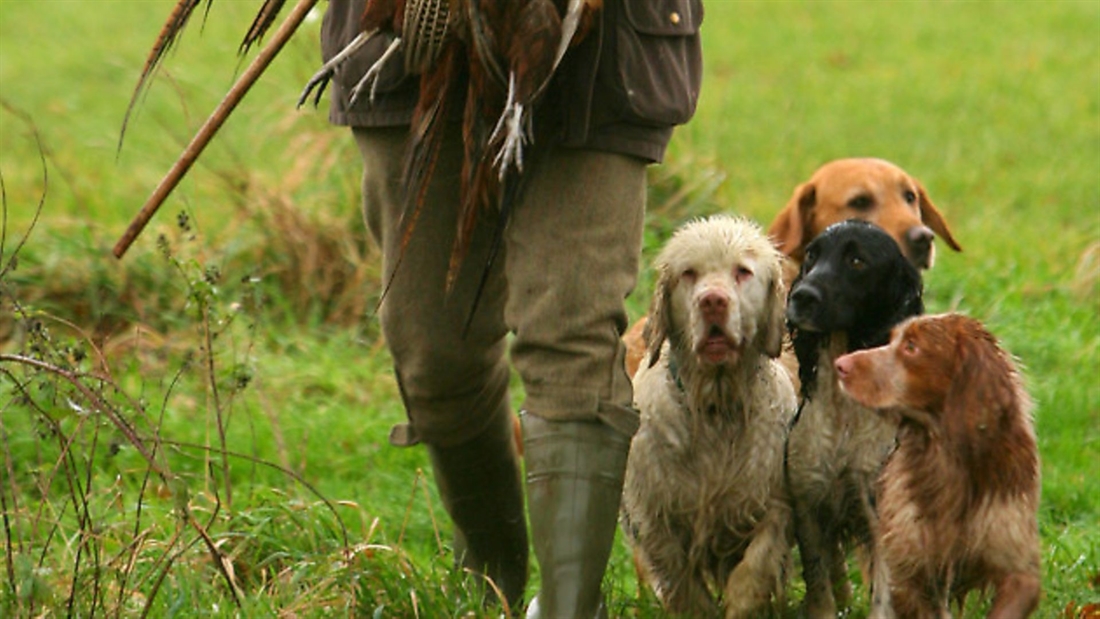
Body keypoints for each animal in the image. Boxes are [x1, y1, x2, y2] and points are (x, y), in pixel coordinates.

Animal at [624, 215, 796, 615]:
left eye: (742, 272)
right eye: (689, 273)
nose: (712, 301)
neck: (716, 406)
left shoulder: (775, 505)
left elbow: (754, 570)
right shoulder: (655, 521)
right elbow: (685, 588)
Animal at [783, 219, 928, 615]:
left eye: (857, 261)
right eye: (811, 256)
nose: (801, 296)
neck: (843, 413)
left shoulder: (878, 511)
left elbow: (884, 594)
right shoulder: (807, 500)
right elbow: (819, 583)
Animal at [836, 314, 1042, 619]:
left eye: (911, 347)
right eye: (892, 339)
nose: (840, 365)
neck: (948, 459)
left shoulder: (1018, 568)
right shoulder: (910, 574)